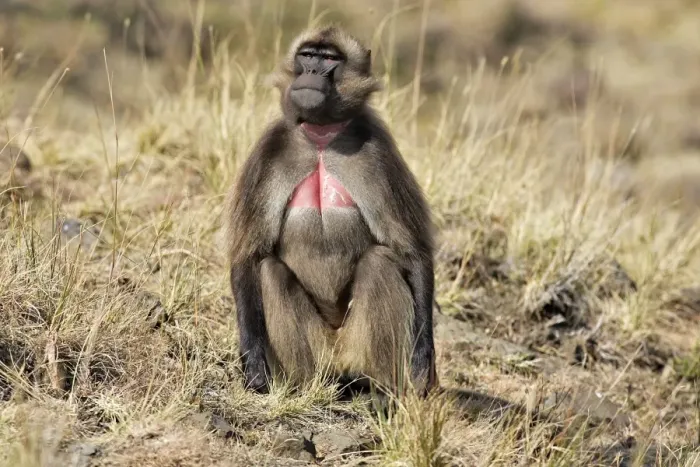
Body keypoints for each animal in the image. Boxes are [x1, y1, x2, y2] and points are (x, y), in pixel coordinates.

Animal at [225, 25, 437, 397]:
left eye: (329, 59)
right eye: (307, 55)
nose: (311, 72)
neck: (321, 138)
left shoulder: (379, 149)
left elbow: (412, 251)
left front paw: (423, 359)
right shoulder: (268, 151)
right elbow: (249, 256)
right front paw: (252, 362)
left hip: (355, 343)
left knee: (378, 263)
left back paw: (377, 389)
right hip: (316, 351)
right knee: (271, 271)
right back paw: (306, 386)